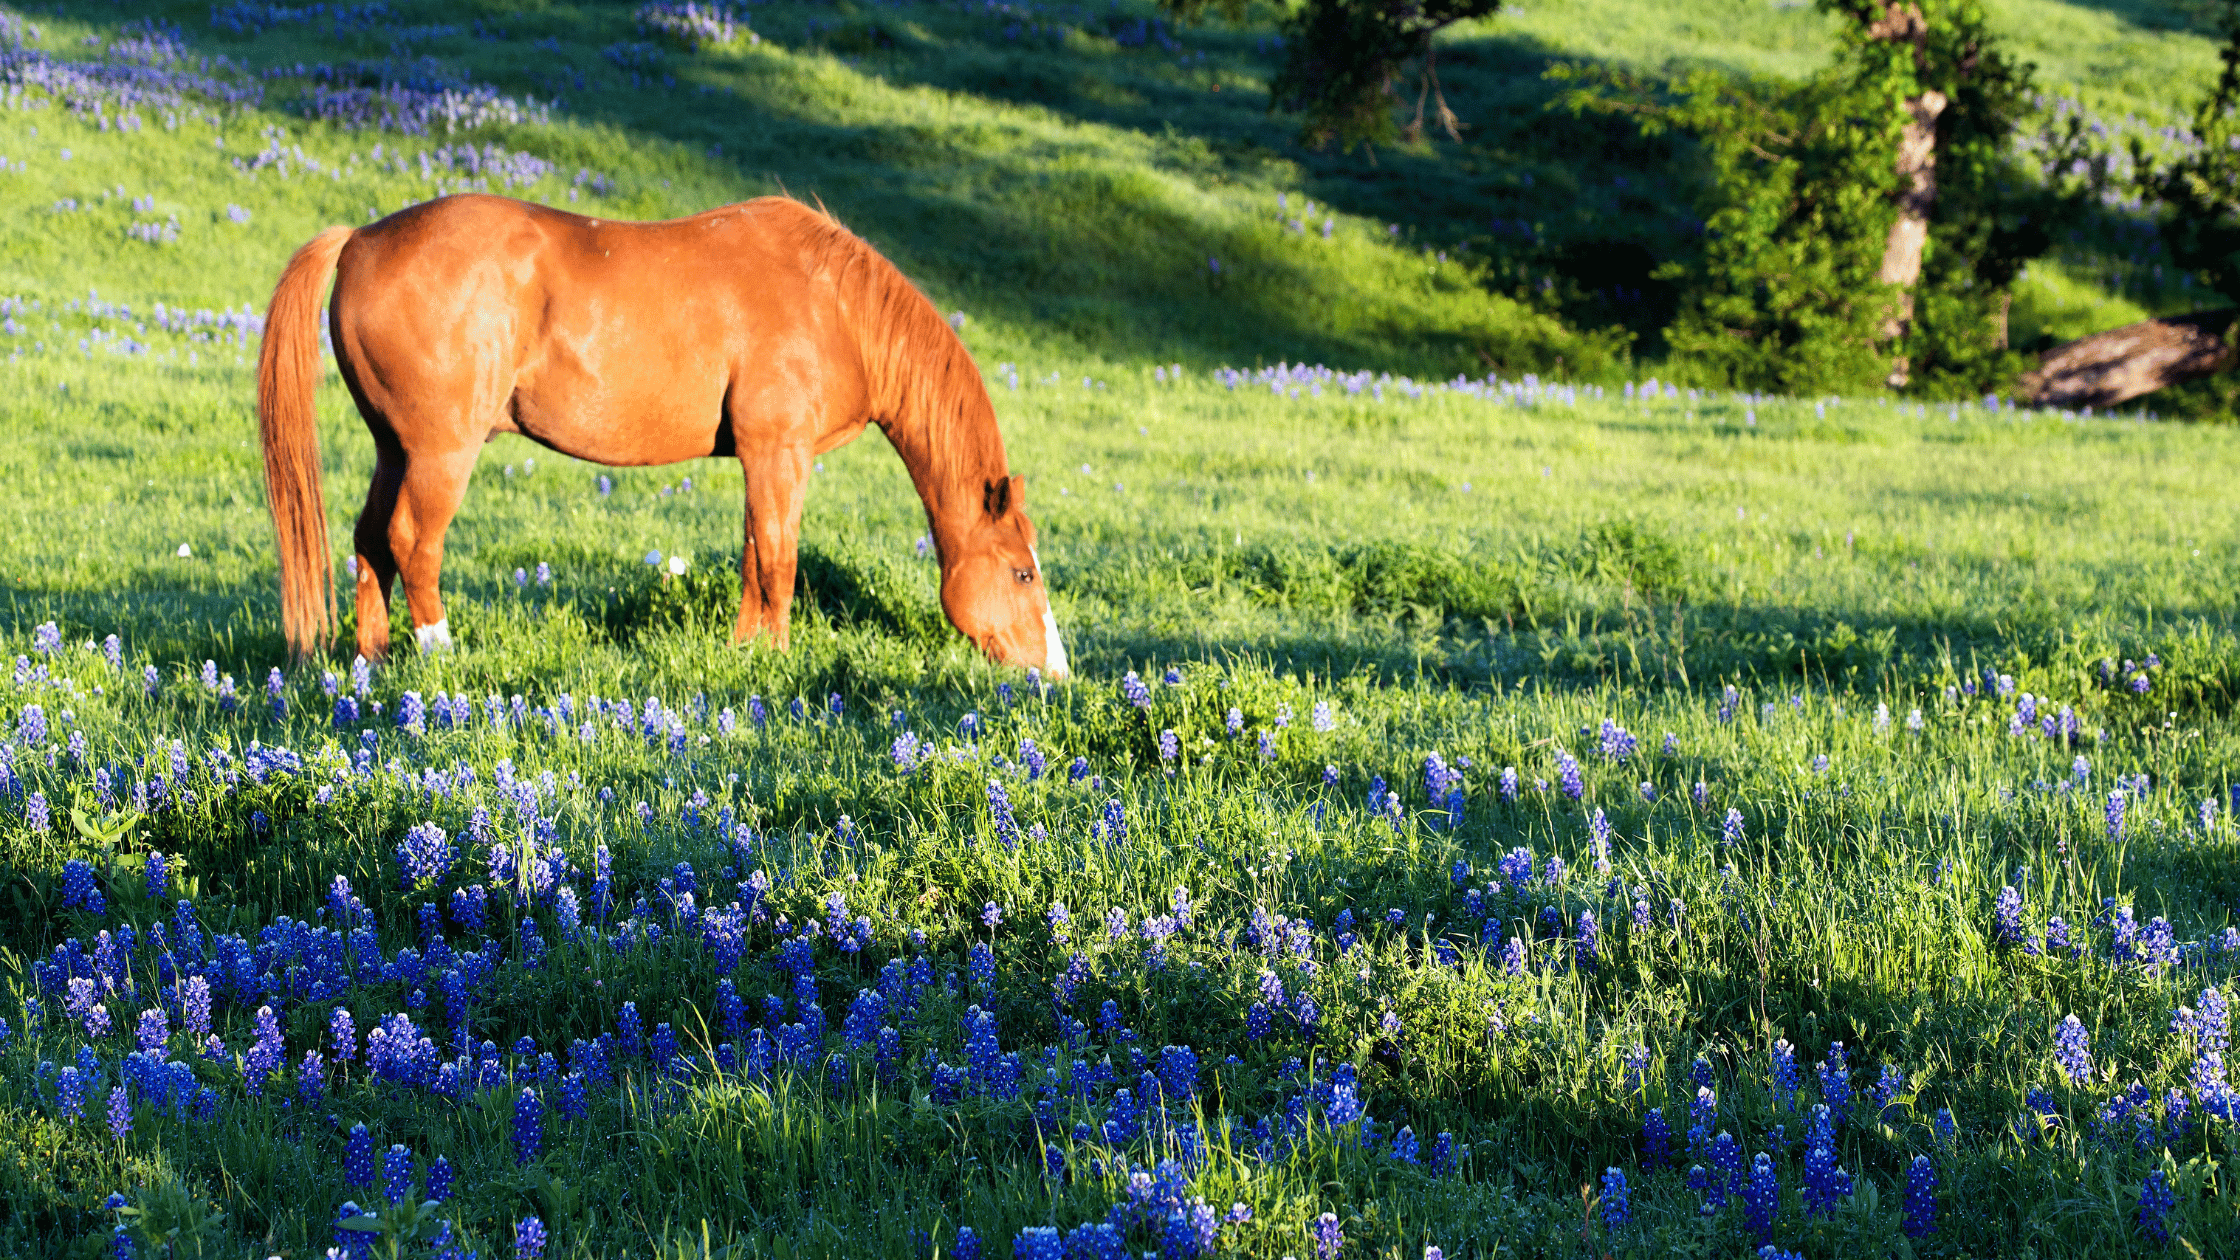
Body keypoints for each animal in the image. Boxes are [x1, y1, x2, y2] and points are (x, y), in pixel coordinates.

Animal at [257, 192, 1070, 677]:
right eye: (1022, 574)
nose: (1056, 671)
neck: (835, 305)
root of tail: (361, 239)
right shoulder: (780, 452)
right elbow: (779, 562)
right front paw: (776, 660)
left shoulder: (762, 459)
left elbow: (753, 559)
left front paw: (744, 653)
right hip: (439, 455)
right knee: (410, 544)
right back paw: (440, 653)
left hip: (392, 450)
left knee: (368, 544)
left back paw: (371, 663)